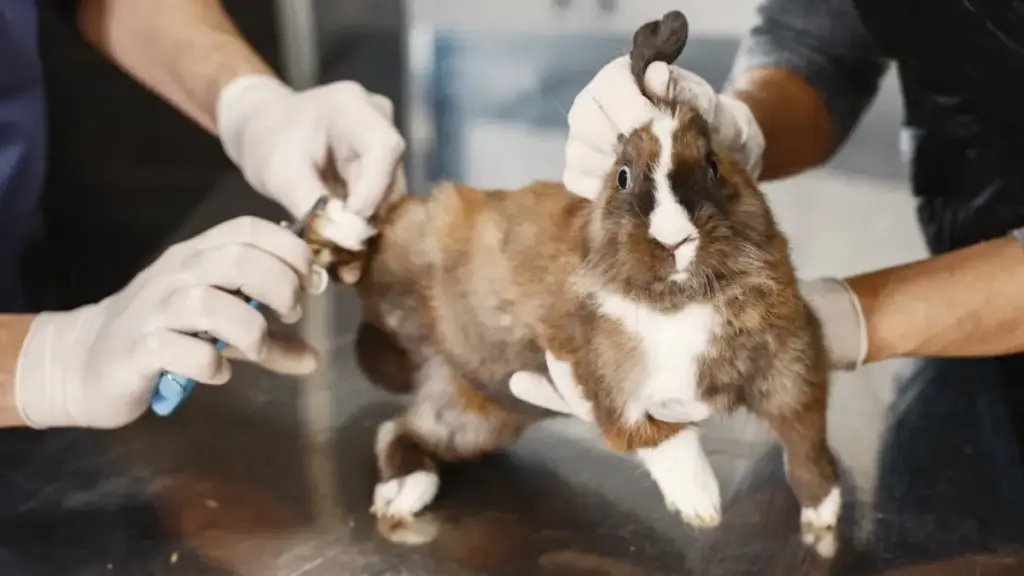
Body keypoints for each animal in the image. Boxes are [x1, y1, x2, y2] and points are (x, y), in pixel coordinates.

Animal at [305, 10, 841, 557]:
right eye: (622, 176)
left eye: (714, 166)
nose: (675, 239)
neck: (680, 301)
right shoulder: (600, 379)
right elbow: (660, 436)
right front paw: (701, 503)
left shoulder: (793, 363)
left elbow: (805, 440)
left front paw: (824, 511)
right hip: (411, 245)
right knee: (371, 256)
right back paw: (339, 231)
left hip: (477, 417)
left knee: (400, 430)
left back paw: (403, 492)